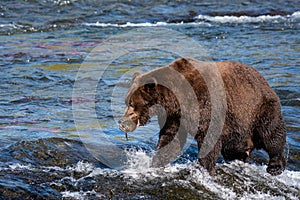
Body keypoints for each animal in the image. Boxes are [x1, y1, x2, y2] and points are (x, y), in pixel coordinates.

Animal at [118, 57, 288, 175]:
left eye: (132, 103)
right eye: (126, 101)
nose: (121, 122)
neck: (176, 99)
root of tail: (265, 82)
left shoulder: (206, 103)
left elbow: (209, 137)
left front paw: (205, 168)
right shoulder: (175, 117)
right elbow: (170, 138)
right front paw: (156, 163)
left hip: (259, 108)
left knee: (272, 134)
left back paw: (275, 166)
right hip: (238, 129)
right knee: (234, 149)